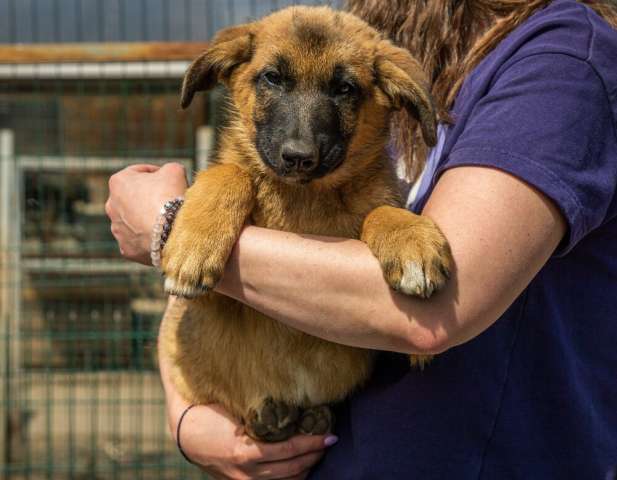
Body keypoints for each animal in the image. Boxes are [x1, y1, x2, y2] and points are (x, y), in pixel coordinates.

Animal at [158, 5, 452, 442]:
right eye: (272, 78)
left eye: (345, 88)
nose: (299, 157)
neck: (304, 198)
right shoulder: (215, 299)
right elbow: (231, 173)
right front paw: (193, 246)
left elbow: (380, 210)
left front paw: (411, 240)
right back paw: (269, 418)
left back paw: (309, 418)